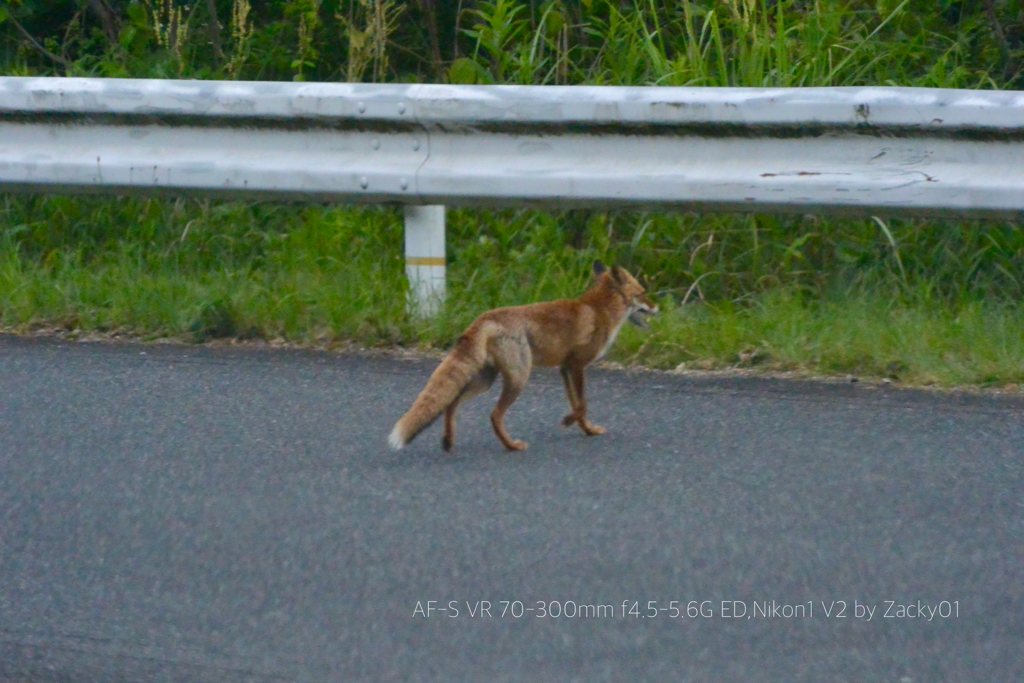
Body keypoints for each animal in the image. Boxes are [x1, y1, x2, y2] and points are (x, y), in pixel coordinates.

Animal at [387, 264, 659, 454]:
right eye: (642, 293)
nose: (658, 307)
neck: (599, 311)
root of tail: (484, 318)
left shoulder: (564, 369)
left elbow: (578, 406)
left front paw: (588, 430)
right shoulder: (577, 365)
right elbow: (582, 405)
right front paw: (568, 421)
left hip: (484, 381)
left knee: (451, 404)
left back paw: (448, 441)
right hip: (519, 378)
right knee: (494, 415)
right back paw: (511, 446)